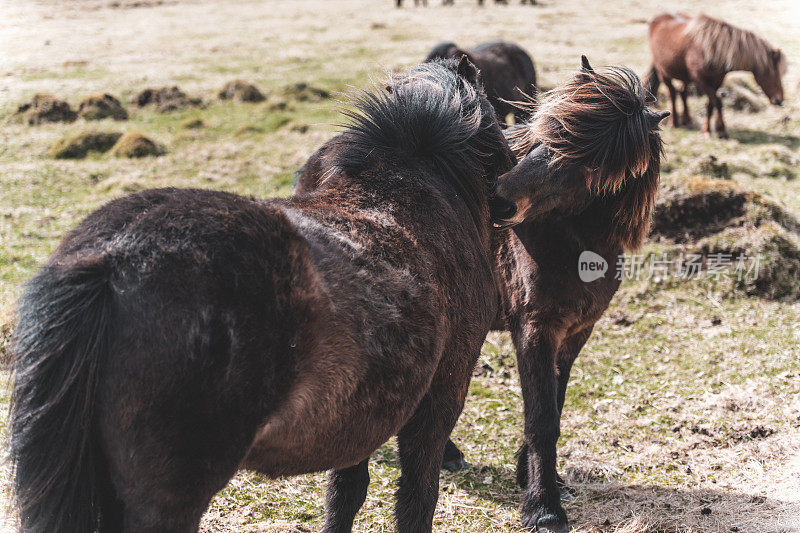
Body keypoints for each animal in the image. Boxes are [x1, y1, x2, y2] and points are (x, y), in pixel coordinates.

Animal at [7, 58, 520, 532]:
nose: (510, 197)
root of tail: (112, 260)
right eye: (496, 117)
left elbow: (346, 491)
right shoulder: (441, 396)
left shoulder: (364, 412)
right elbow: (416, 496)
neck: (413, 191)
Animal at [648, 12, 784, 138]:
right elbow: (717, 102)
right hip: (663, 73)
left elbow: (710, 104)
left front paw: (707, 129)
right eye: (774, 73)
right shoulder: (700, 80)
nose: (779, 100)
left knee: (683, 93)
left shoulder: (717, 81)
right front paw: (721, 131)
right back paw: (673, 122)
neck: (711, 50)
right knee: (672, 93)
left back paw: (687, 121)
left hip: (684, 77)